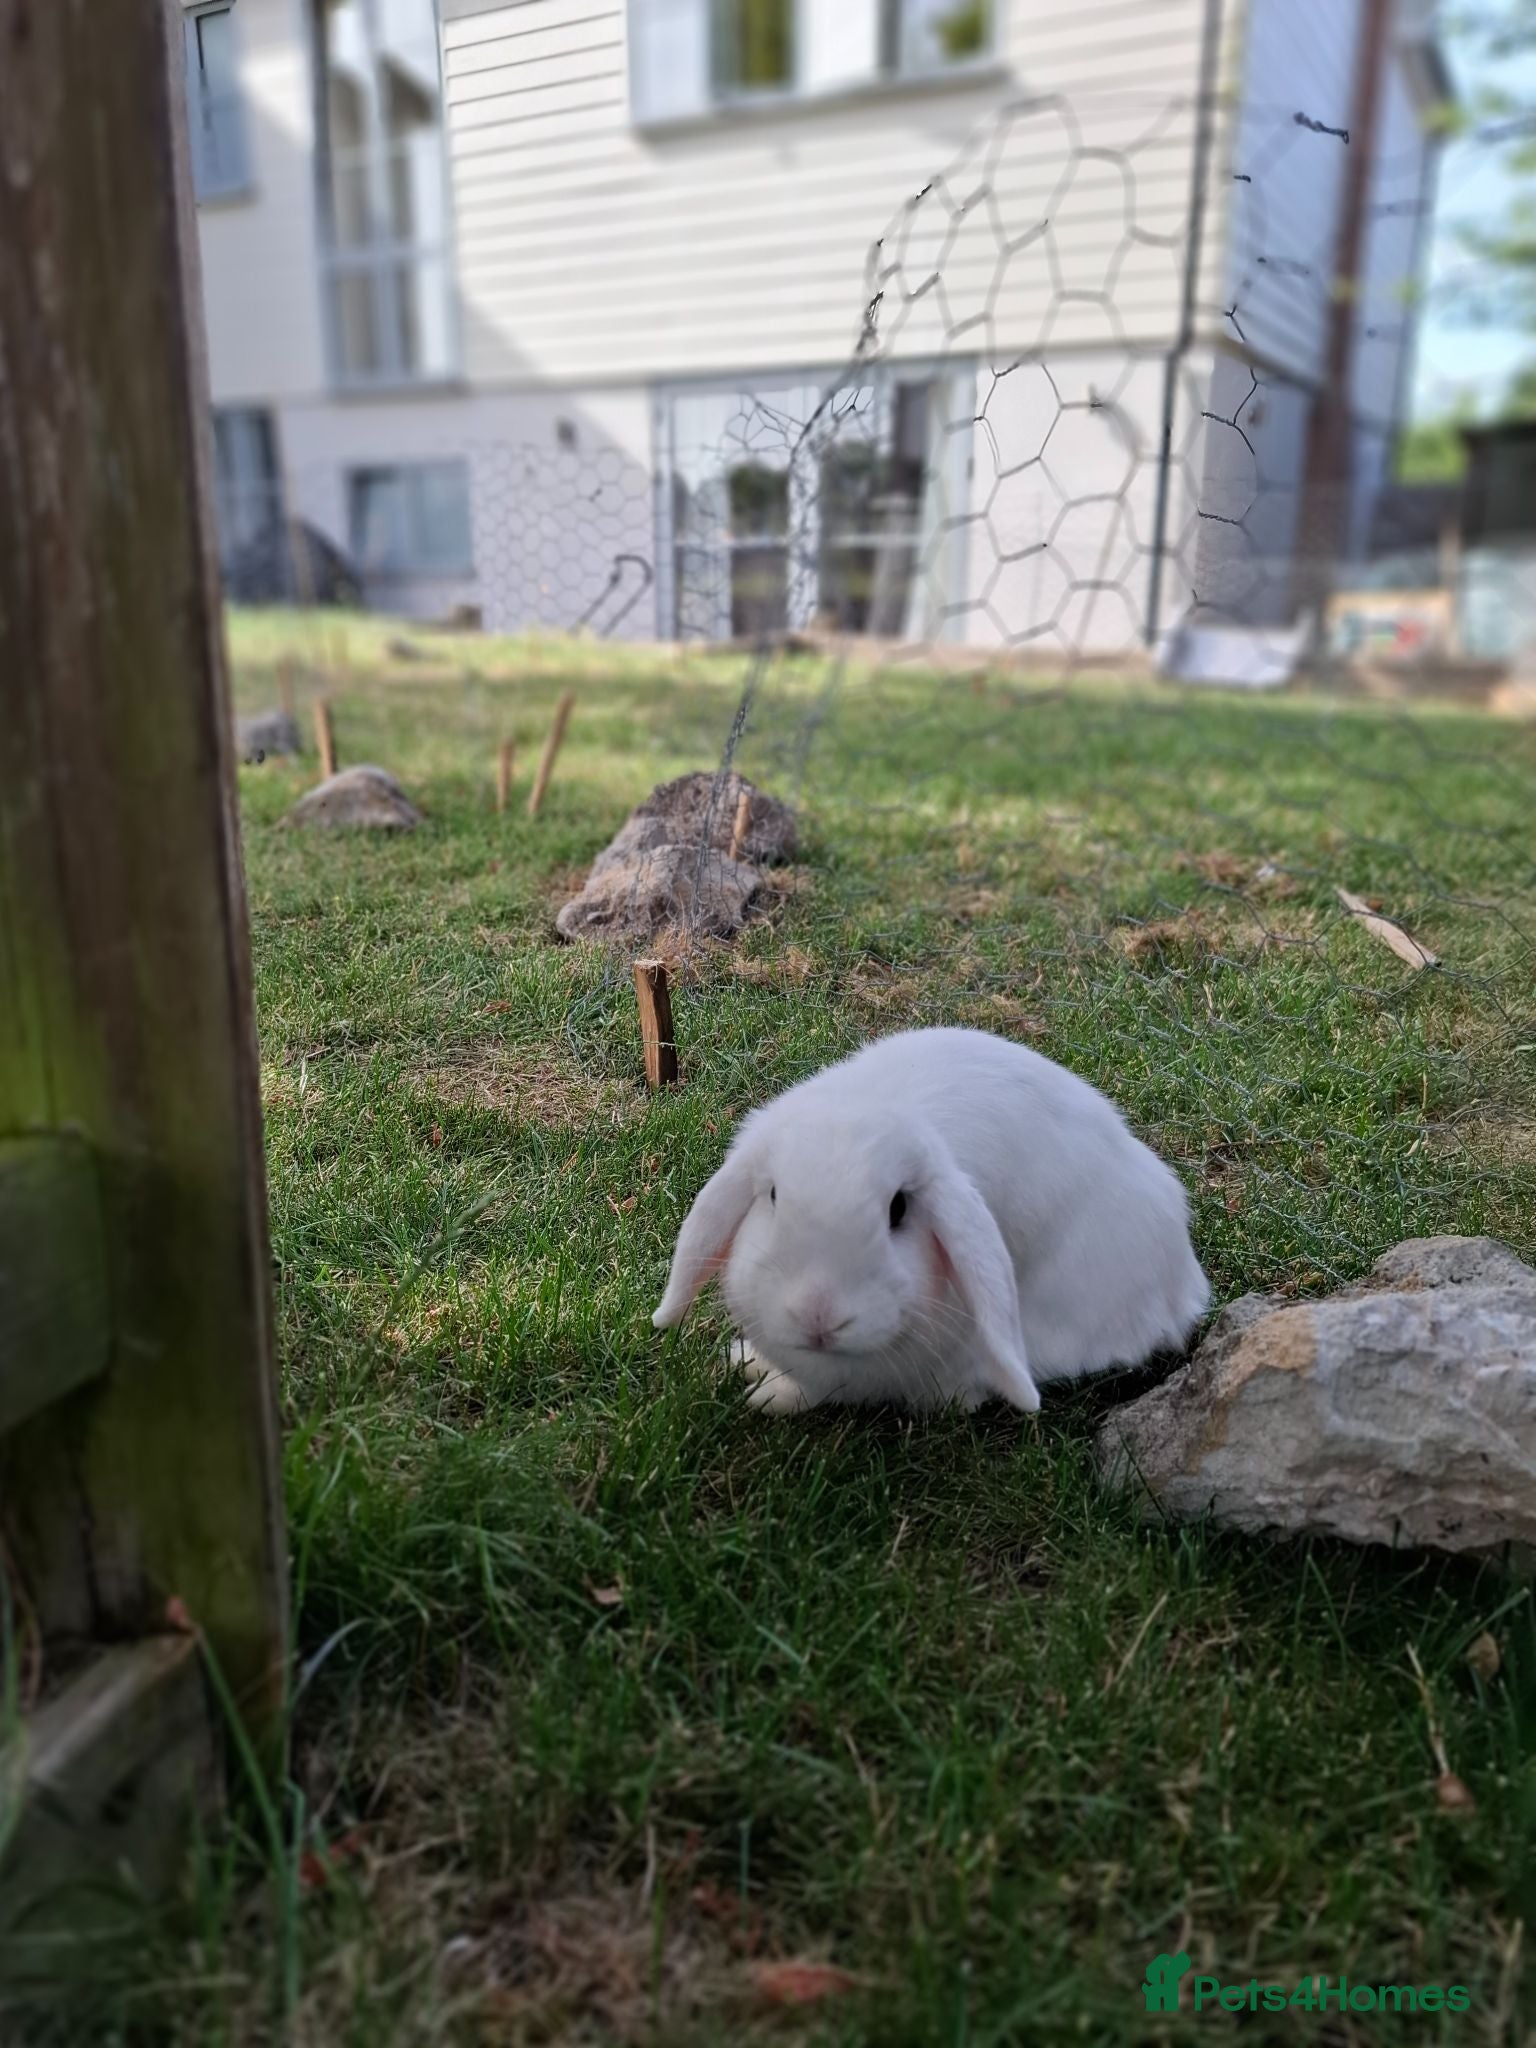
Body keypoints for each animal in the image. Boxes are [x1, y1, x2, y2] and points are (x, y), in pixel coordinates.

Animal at [653, 1027, 1209, 1414]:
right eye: (771, 1196)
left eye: (899, 1209)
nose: (819, 1316)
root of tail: (1185, 1287)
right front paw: (745, 1361)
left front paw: (770, 1398)